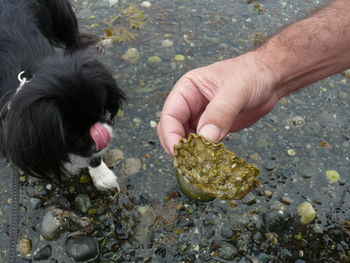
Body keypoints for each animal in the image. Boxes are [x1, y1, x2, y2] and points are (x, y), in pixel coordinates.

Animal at [0, 0, 126, 191]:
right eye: (72, 131)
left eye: (101, 112)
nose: (100, 134)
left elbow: (92, 157)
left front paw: (101, 174)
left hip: (63, 20)